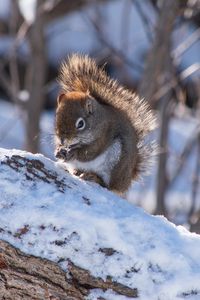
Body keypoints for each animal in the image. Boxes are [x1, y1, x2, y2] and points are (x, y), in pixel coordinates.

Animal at [54, 53, 156, 195]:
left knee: (107, 185)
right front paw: (58, 150)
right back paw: (76, 170)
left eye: (80, 124)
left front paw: (74, 153)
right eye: (57, 116)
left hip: (115, 164)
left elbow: (90, 152)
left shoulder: (105, 134)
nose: (63, 140)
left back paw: (94, 177)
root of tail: (126, 181)